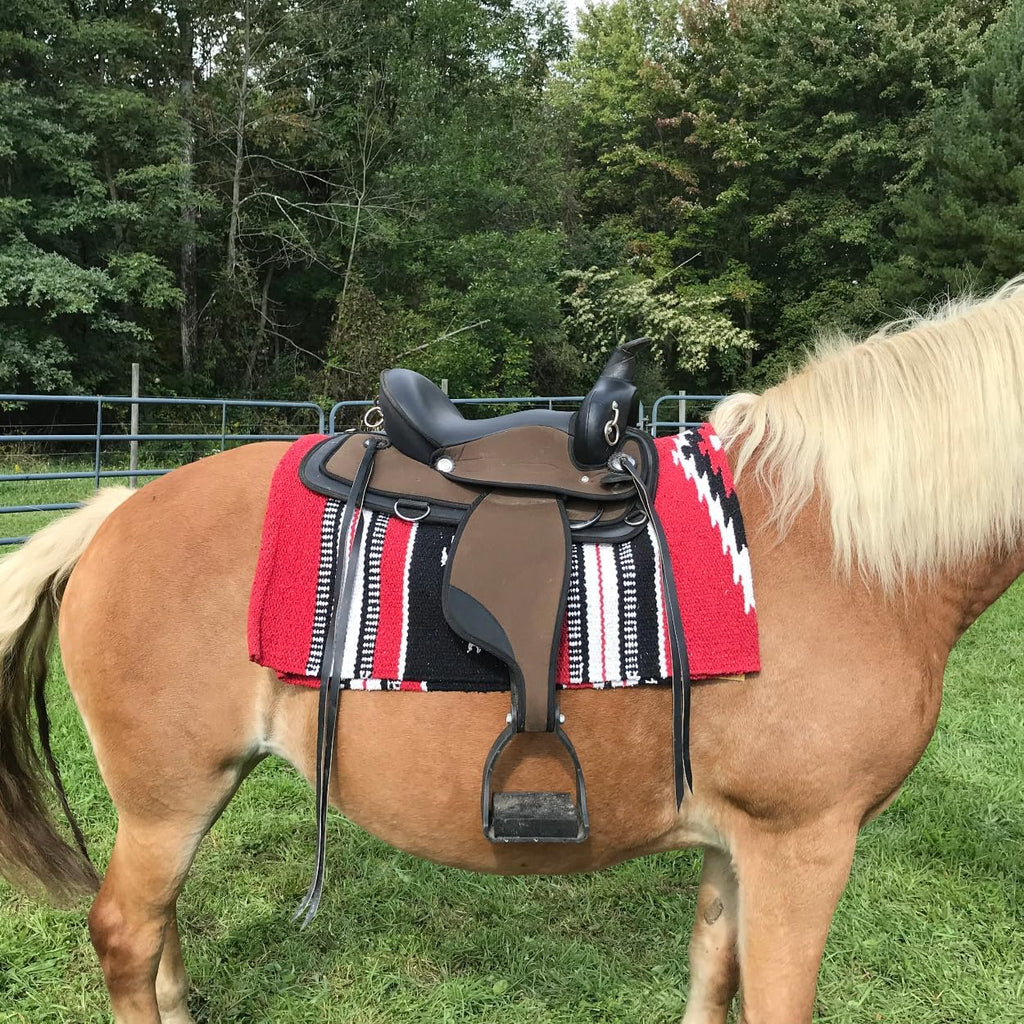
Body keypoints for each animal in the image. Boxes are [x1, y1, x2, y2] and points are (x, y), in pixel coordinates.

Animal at [1, 279, 1023, 1024]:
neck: (845, 550)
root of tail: (112, 514)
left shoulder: (740, 844)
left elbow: (711, 972)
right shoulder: (802, 844)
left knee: (159, 937)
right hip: (169, 799)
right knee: (128, 935)